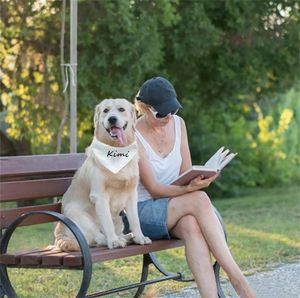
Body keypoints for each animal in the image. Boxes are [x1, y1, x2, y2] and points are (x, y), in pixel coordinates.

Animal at [54, 99, 151, 250]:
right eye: (106, 111)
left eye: (121, 109)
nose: (112, 119)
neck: (117, 151)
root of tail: (59, 233)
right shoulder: (99, 195)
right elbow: (107, 222)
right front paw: (114, 241)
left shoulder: (131, 193)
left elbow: (135, 220)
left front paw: (140, 237)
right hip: (78, 214)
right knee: (97, 238)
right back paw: (114, 239)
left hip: (119, 219)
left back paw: (127, 237)